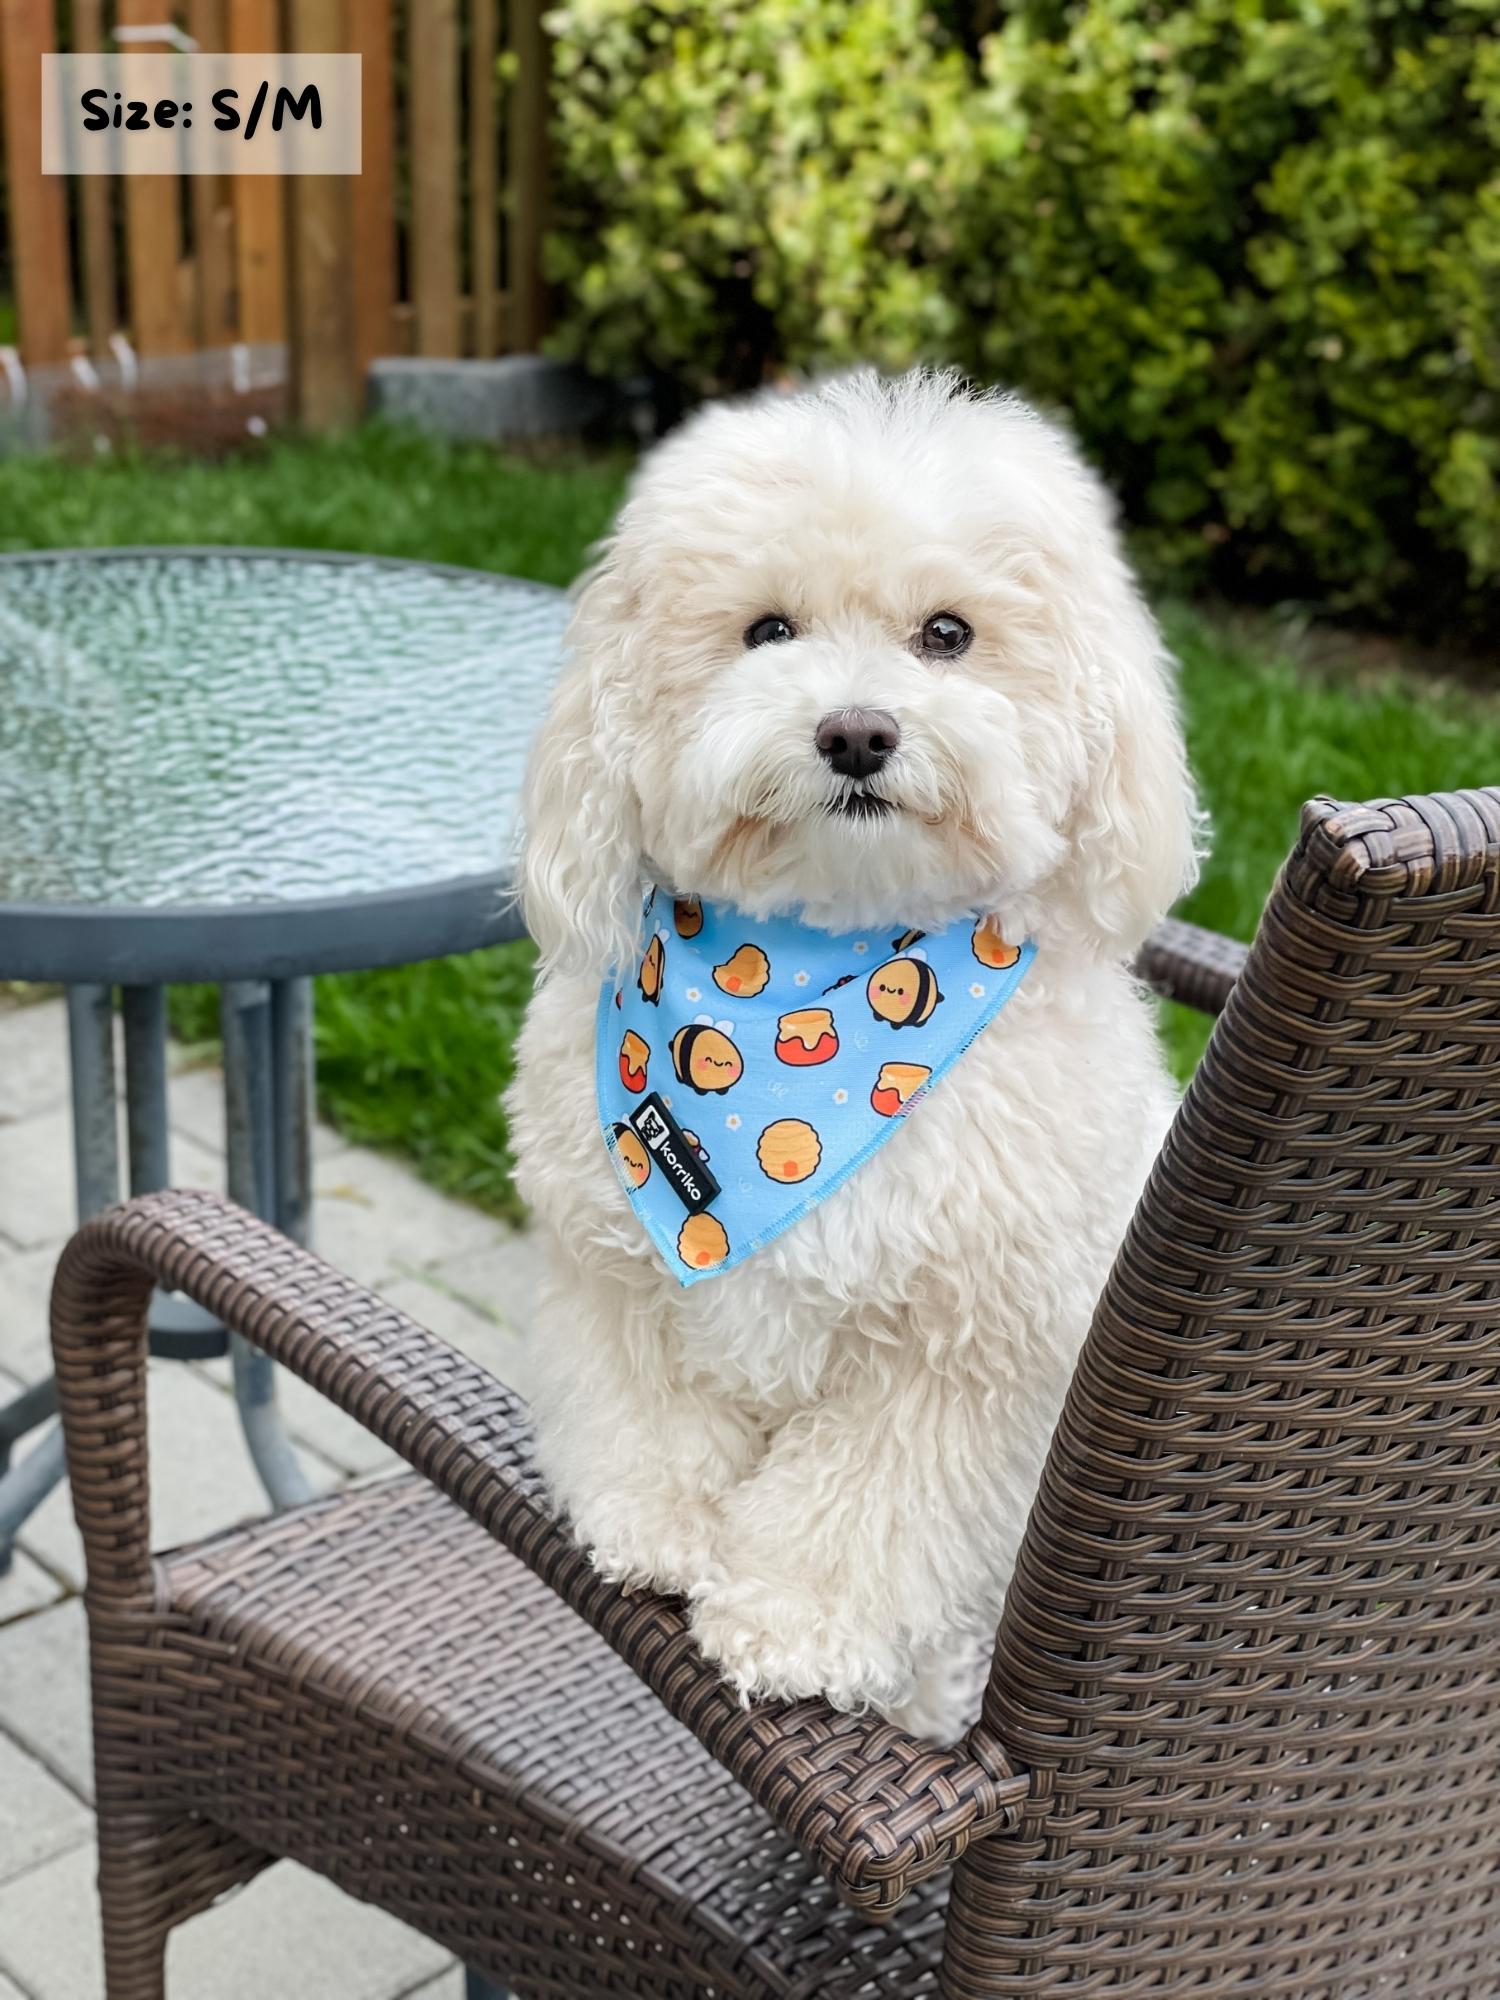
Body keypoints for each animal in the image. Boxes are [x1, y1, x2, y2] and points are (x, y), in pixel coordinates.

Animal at [512, 368, 1208, 1744]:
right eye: (767, 629)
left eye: (947, 633)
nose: (856, 733)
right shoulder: (615, 1268)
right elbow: (646, 1409)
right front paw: (656, 1524)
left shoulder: (966, 1354)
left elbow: (866, 1507)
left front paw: (791, 1623)